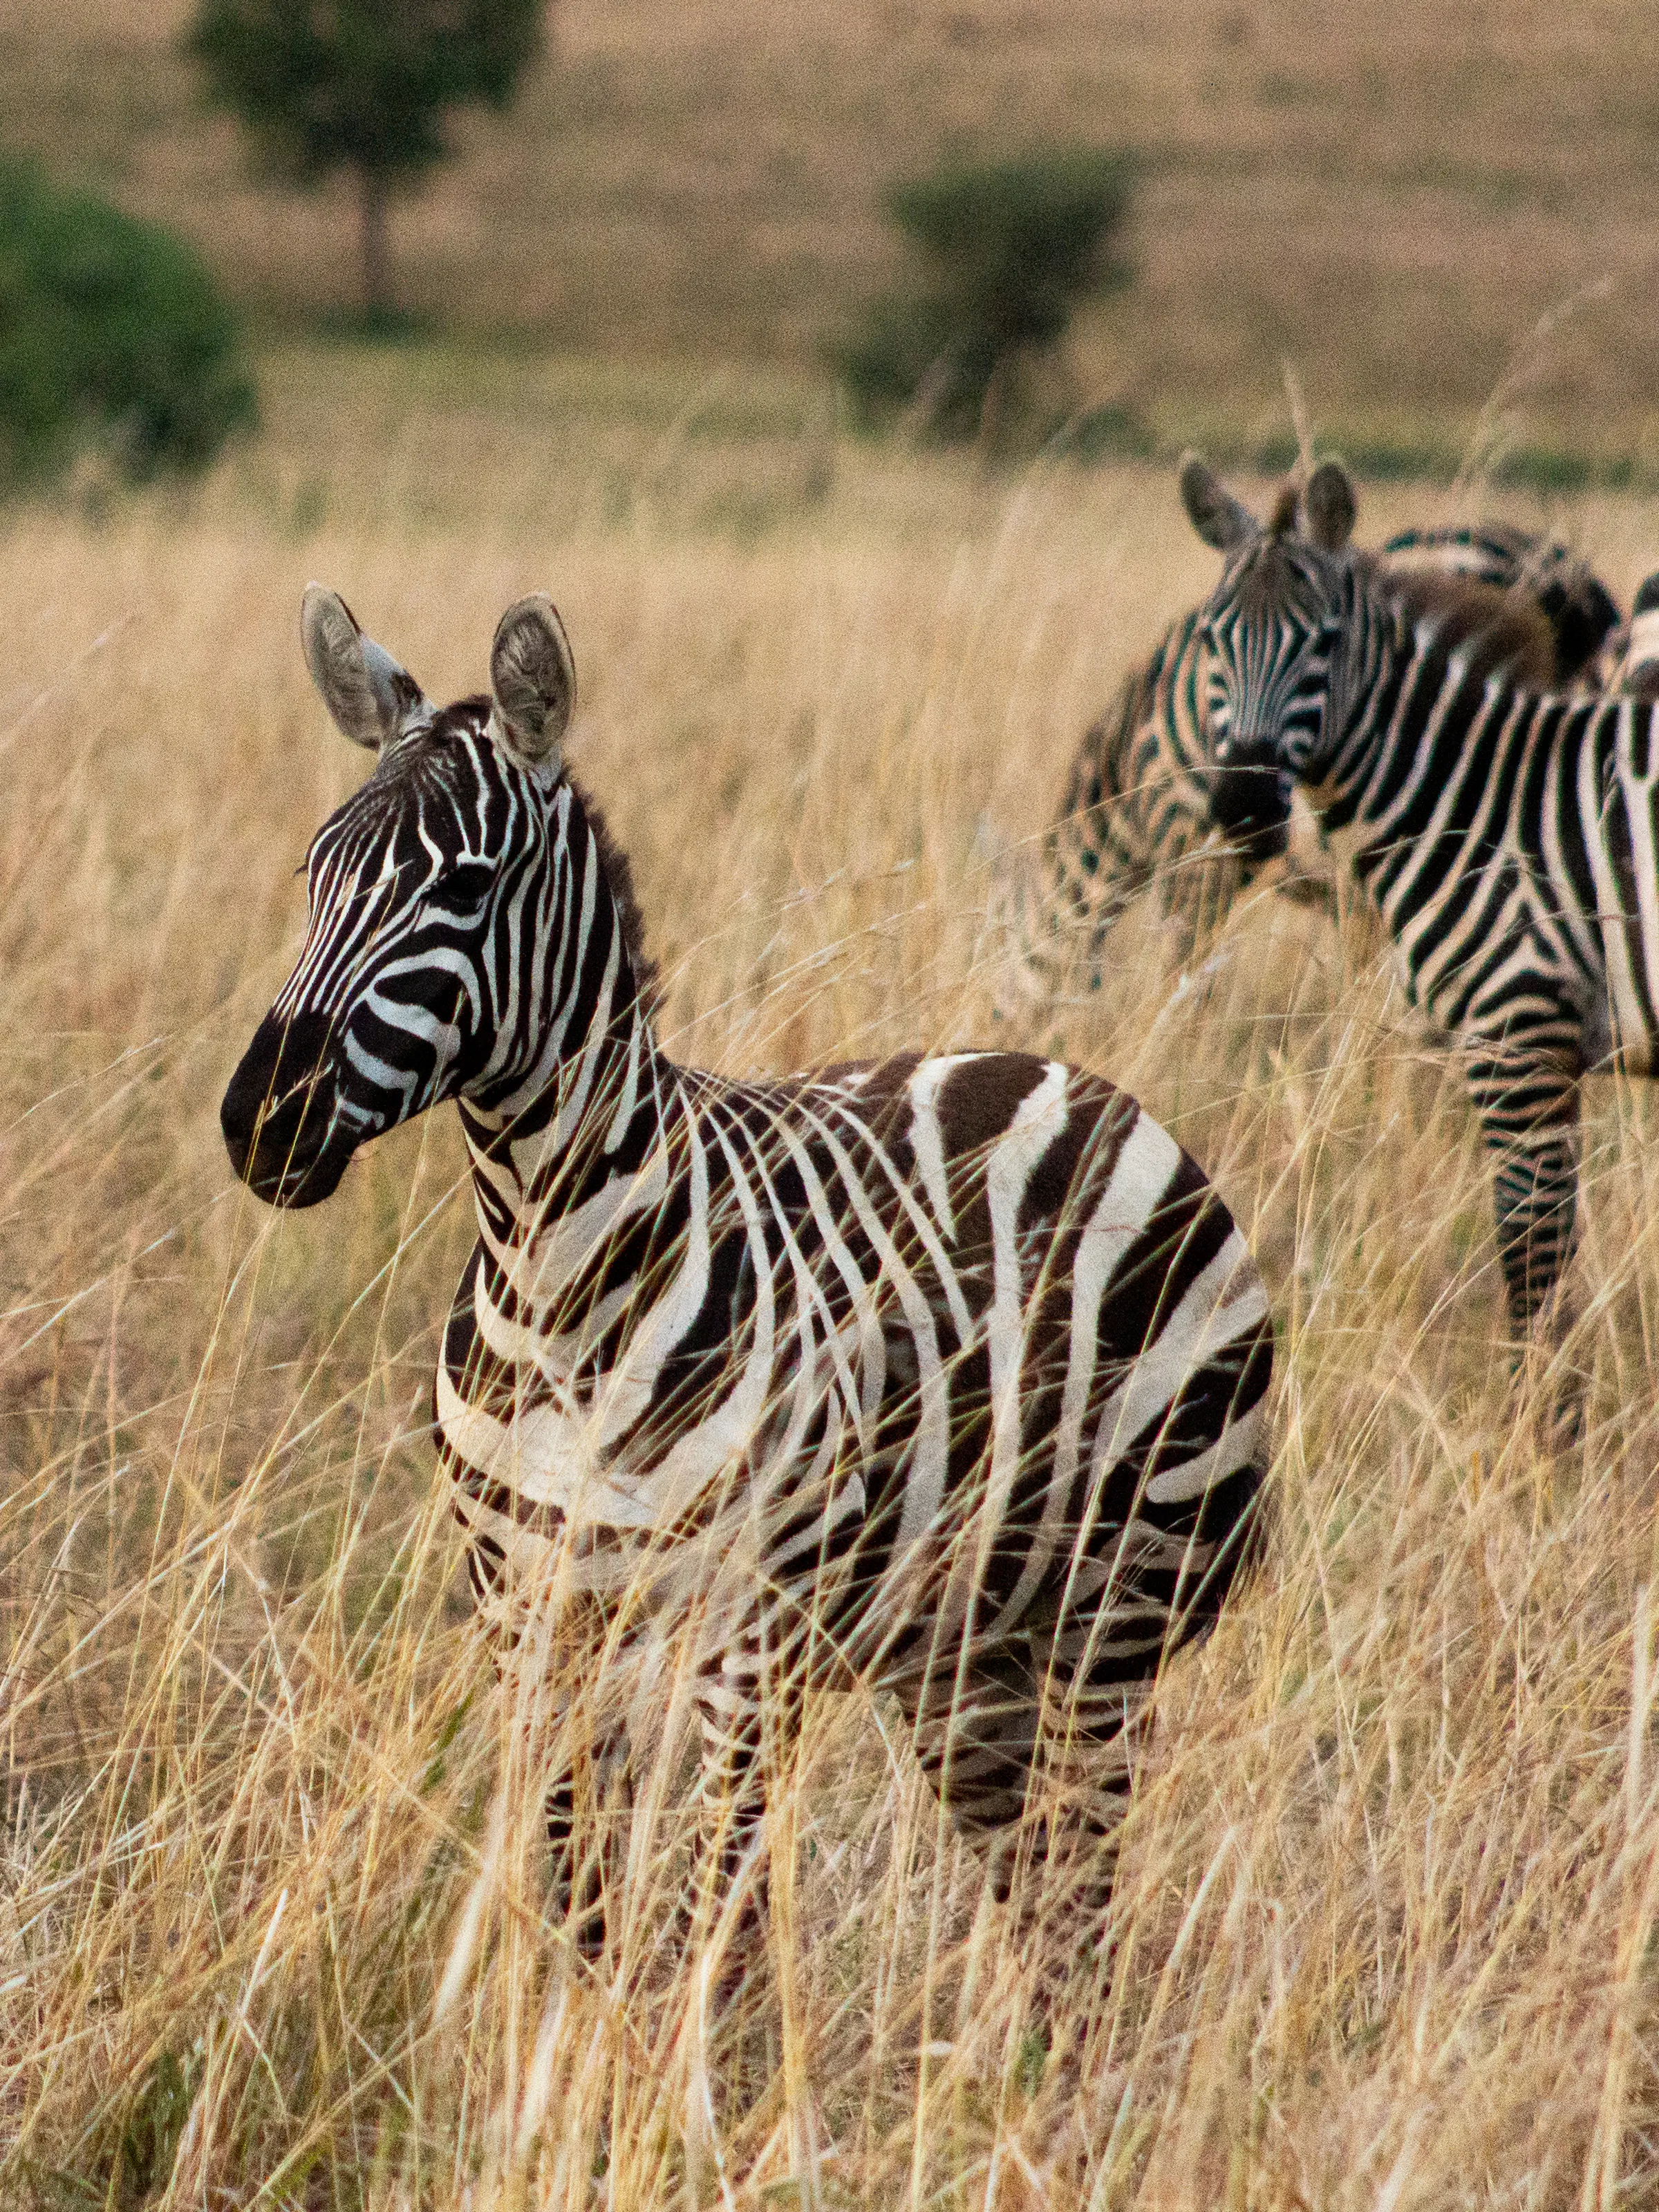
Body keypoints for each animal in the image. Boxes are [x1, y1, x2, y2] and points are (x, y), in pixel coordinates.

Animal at [220, 585, 1275, 1957]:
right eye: (316, 873)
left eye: (465, 886)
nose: (261, 1122)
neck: (555, 1292)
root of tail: (1081, 1079)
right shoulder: (531, 1629)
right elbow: (587, 1920)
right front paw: (578, 2020)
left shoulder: (740, 1646)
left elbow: (713, 1941)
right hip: (962, 1655)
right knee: (1044, 1910)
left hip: (1115, 1607)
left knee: (1083, 1906)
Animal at [1179, 451, 1656, 1363]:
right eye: (1210, 640)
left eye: (1324, 643)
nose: (1244, 807)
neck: (1468, 801)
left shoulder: (1519, 1038)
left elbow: (1532, 1264)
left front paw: (1532, 1404)